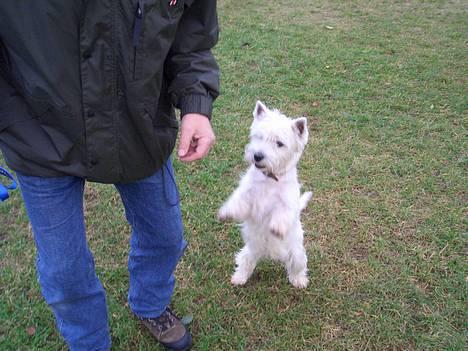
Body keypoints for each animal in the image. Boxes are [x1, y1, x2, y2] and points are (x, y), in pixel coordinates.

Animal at [218, 101, 312, 288]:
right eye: (259, 137)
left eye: (279, 143)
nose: (257, 156)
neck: (269, 179)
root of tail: (268, 254)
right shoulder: (248, 195)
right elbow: (238, 201)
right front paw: (227, 212)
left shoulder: (287, 203)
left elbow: (282, 214)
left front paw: (276, 228)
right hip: (250, 250)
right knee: (245, 262)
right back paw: (239, 278)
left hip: (296, 254)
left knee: (296, 267)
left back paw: (299, 281)